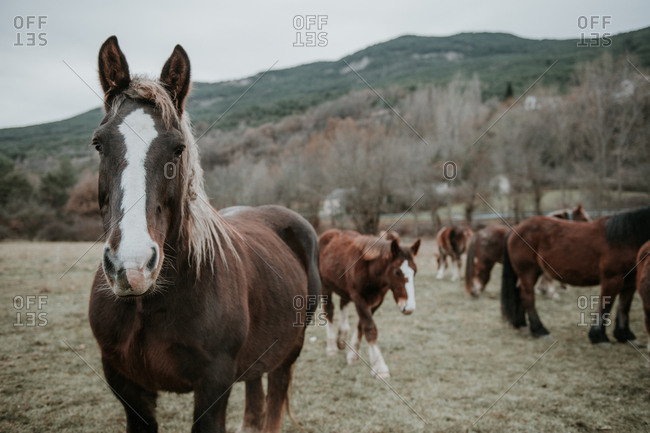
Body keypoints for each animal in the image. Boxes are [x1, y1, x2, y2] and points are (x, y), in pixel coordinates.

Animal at [88, 36, 320, 433]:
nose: (131, 266)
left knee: (275, 395)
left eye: (178, 148)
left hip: (290, 349)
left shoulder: (214, 383)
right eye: (99, 144)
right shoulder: (125, 383)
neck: (151, 302)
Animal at [319, 229, 420, 379]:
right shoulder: (359, 298)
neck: (371, 272)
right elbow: (369, 327)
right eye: (397, 272)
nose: (409, 308)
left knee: (343, 303)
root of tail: (329, 233)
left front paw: (353, 356)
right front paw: (380, 366)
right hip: (325, 286)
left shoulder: (377, 300)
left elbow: (361, 325)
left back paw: (342, 337)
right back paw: (331, 346)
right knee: (329, 311)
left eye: (415, 271)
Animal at [501, 205, 650, 343]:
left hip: (534, 272)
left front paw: (625, 335)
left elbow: (624, 306)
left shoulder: (630, 282)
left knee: (520, 293)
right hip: (528, 271)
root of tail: (516, 229)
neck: (627, 238)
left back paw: (522, 325)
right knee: (527, 297)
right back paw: (540, 329)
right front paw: (599, 337)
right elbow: (605, 306)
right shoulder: (612, 279)